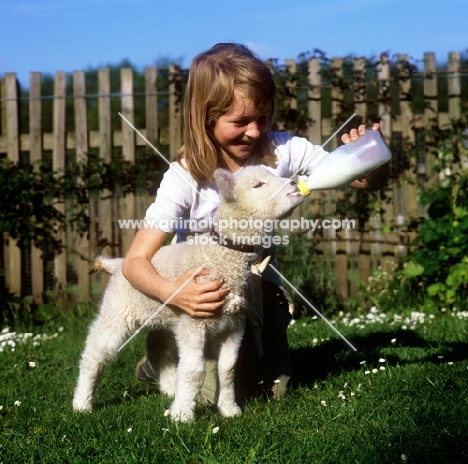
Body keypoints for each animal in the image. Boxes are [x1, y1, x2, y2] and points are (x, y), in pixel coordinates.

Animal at [71, 165, 302, 422]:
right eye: (258, 184)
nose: (294, 184)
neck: (223, 257)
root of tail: (118, 263)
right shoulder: (194, 322)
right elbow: (194, 370)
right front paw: (182, 415)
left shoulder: (234, 324)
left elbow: (227, 369)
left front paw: (229, 409)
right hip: (117, 311)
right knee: (95, 355)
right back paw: (82, 403)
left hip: (166, 315)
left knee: (160, 348)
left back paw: (169, 388)